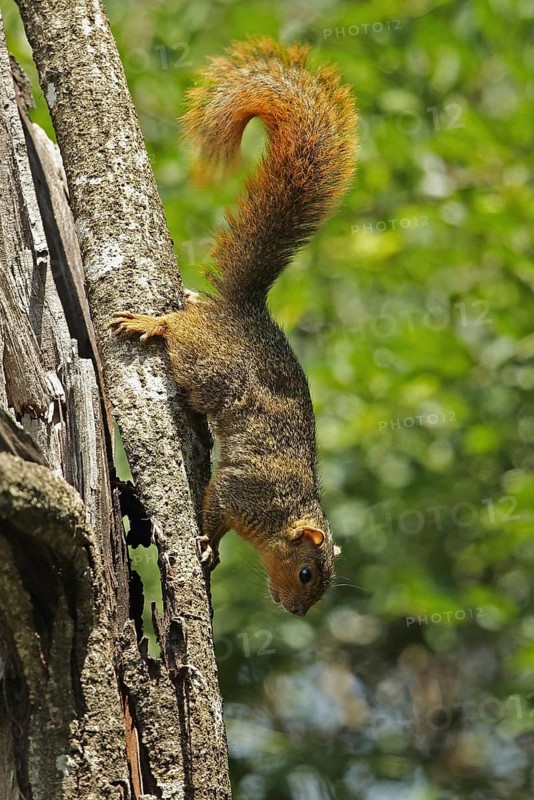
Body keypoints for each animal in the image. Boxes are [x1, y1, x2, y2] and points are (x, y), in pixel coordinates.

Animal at [111, 39, 357, 616]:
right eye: (306, 573)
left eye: (320, 584)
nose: (295, 610)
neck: (282, 515)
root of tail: (244, 311)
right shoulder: (242, 490)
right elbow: (215, 510)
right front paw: (207, 546)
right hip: (203, 360)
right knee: (177, 330)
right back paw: (151, 319)